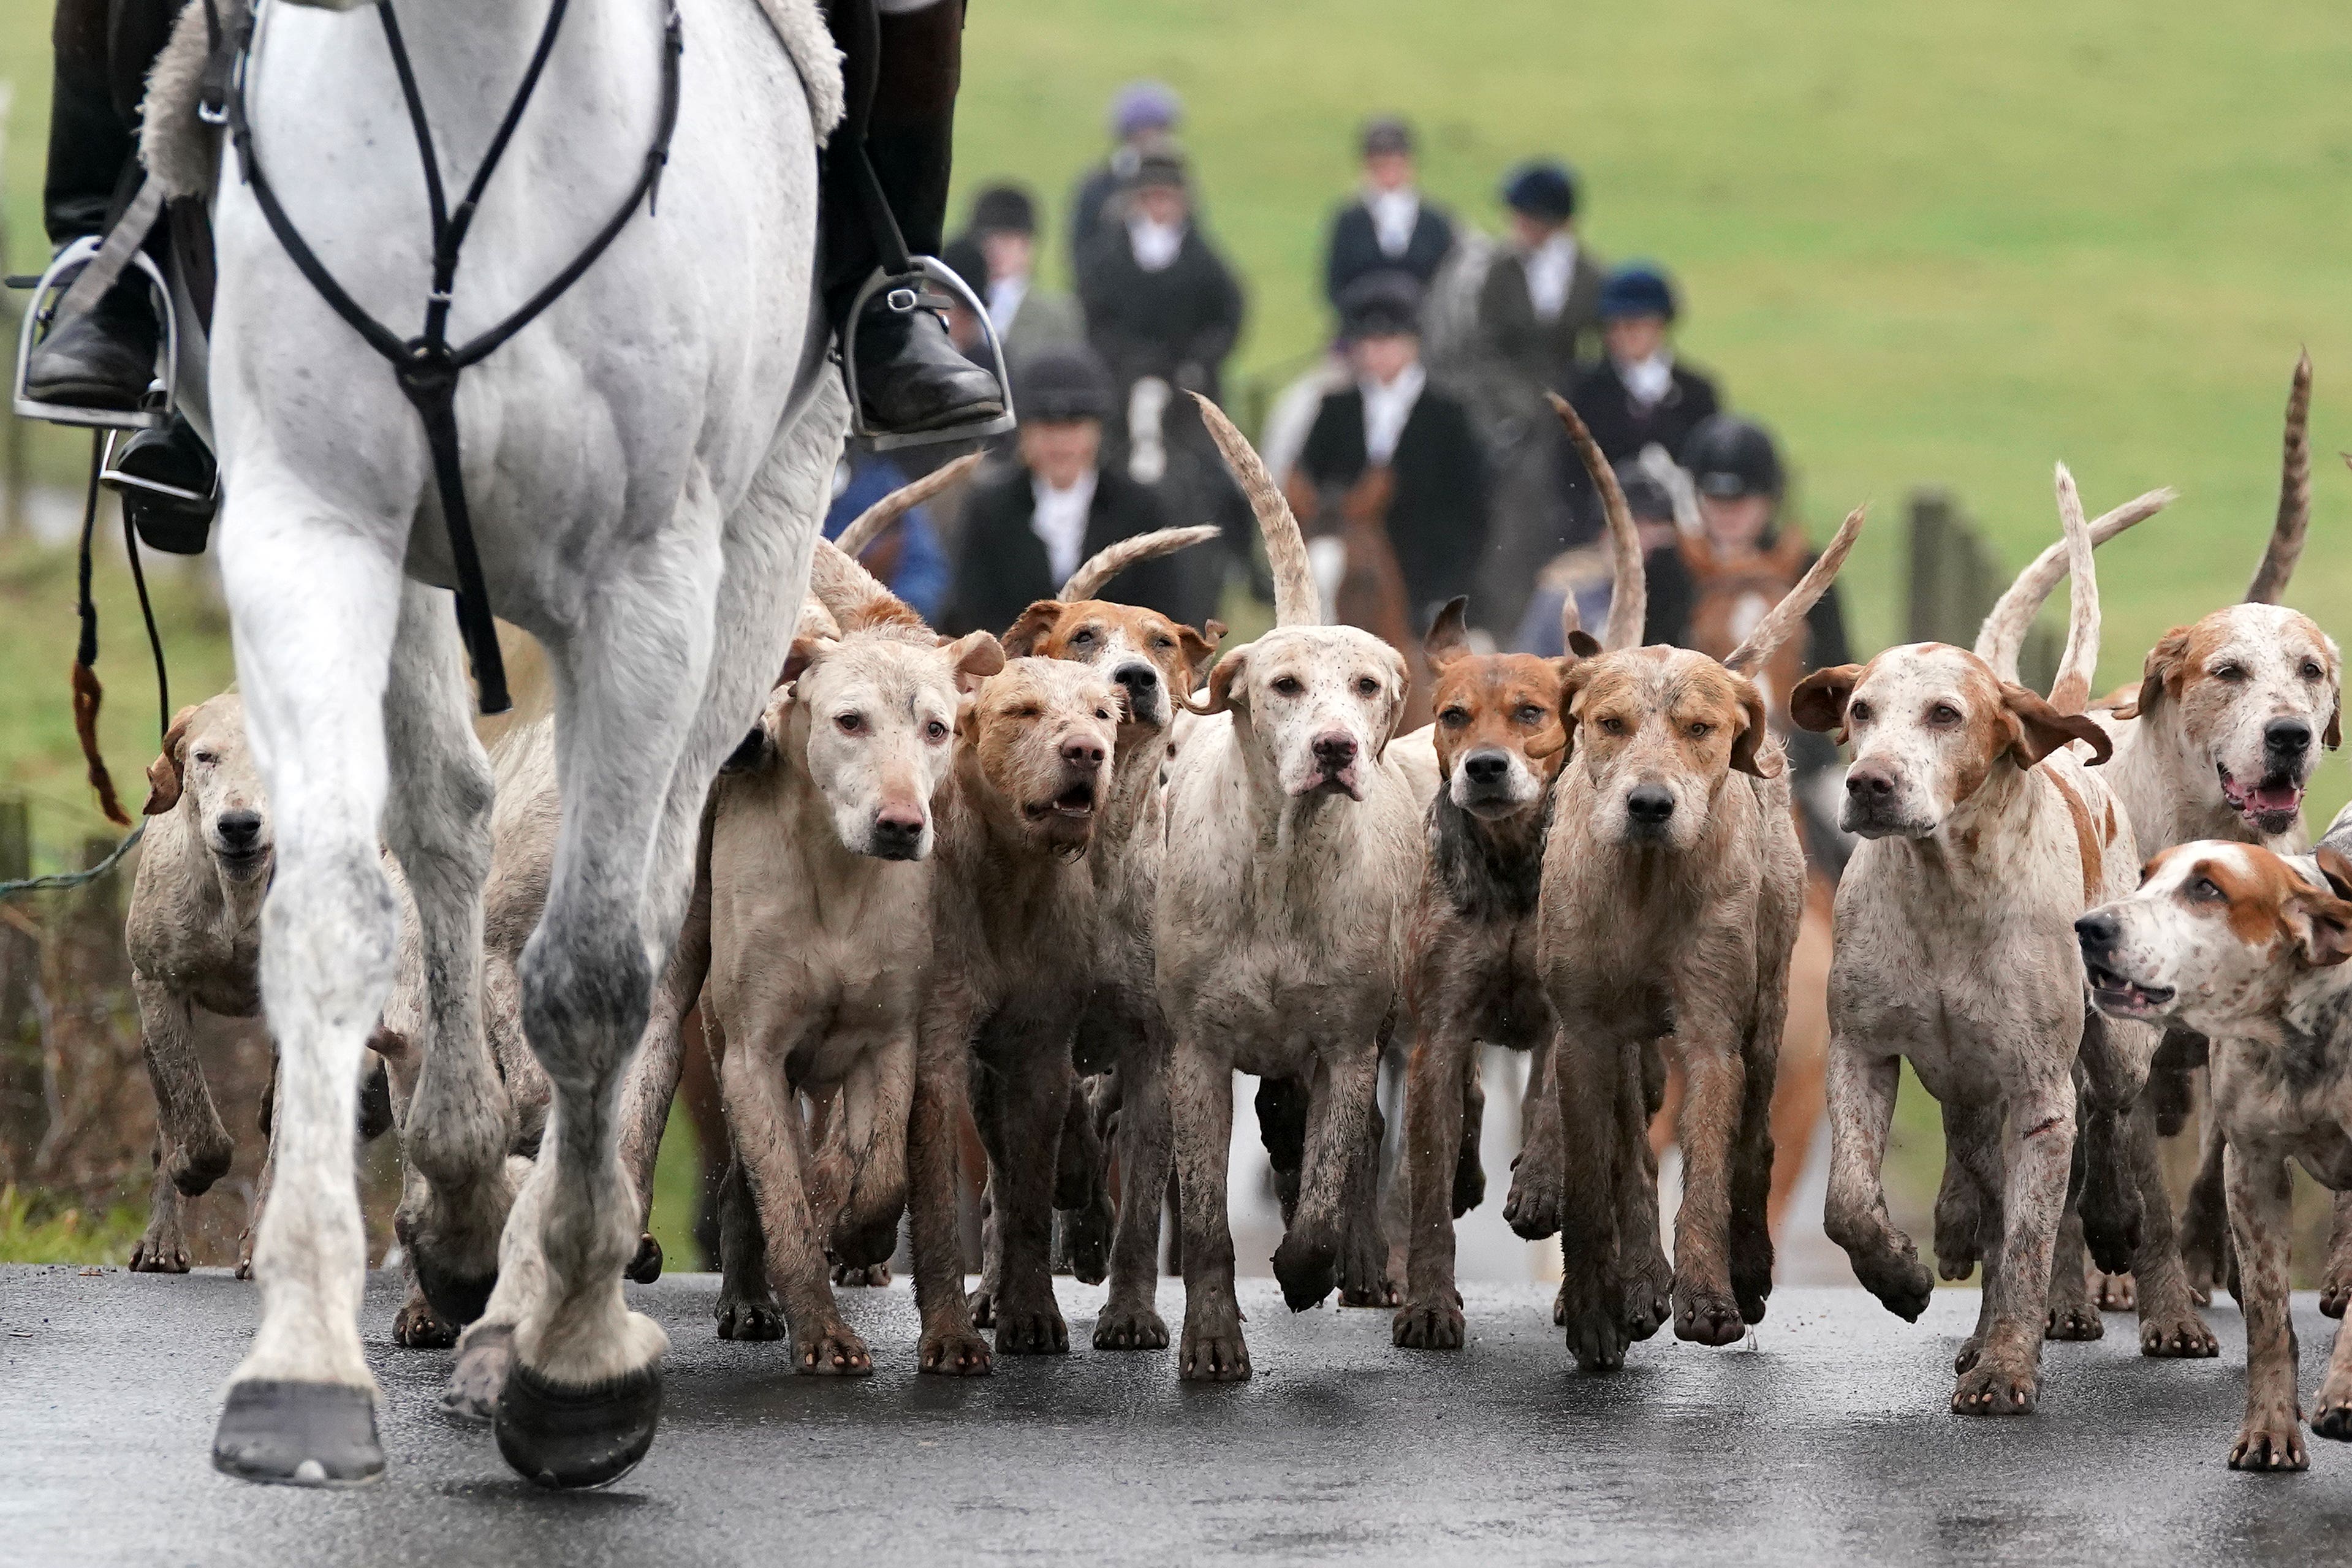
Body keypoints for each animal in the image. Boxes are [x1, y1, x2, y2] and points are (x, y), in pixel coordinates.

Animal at [186, 0, 846, 1495]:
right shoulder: (315, 528)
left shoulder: (646, 588)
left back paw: (532, 1283)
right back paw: (462, 1209)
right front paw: (306, 1361)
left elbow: (594, 972)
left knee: (646, 894)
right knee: (448, 825)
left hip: (750, 567)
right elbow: (337, 915)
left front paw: (572, 1355)